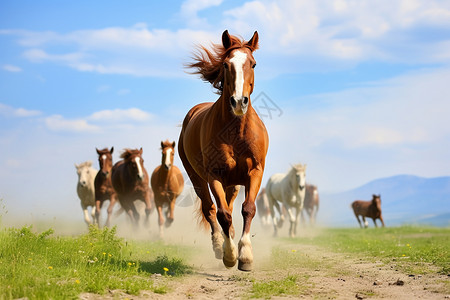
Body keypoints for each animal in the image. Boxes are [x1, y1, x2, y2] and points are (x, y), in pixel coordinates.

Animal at [178, 30, 270, 272]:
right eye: (227, 64)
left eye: (253, 64)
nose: (239, 102)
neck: (236, 132)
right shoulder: (215, 176)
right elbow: (222, 214)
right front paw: (230, 255)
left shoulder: (255, 172)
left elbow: (248, 208)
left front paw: (245, 255)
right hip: (198, 179)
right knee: (210, 209)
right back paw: (219, 245)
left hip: (234, 183)